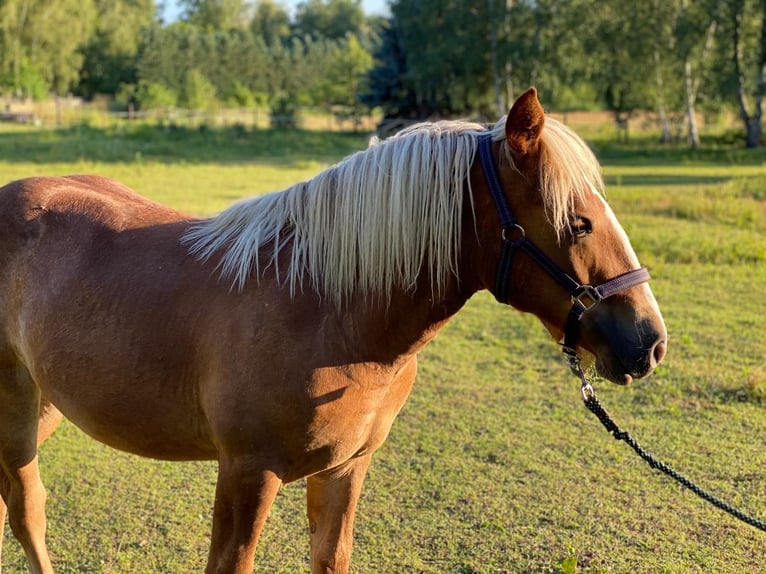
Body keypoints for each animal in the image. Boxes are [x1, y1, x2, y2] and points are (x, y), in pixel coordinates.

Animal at [0, 88, 664, 572]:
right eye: (578, 223)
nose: (649, 341)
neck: (326, 310)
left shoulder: (346, 470)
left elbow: (330, 557)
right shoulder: (246, 475)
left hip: (50, 403)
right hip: (17, 412)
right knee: (28, 510)